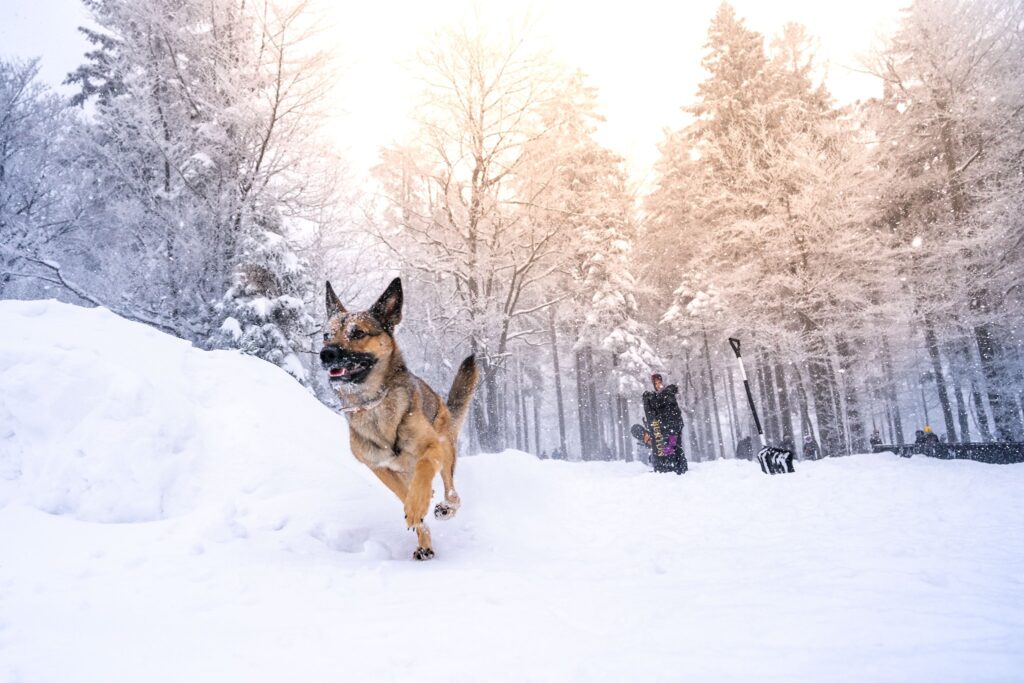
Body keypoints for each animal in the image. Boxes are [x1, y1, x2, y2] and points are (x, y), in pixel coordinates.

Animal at [319, 278, 479, 561]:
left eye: (357, 333)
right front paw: (418, 519)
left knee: (452, 492)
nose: (325, 353)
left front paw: (417, 506)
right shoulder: (380, 468)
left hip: (446, 447)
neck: (374, 404)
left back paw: (446, 506)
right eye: (326, 335)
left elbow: (425, 468)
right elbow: (404, 495)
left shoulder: (431, 447)